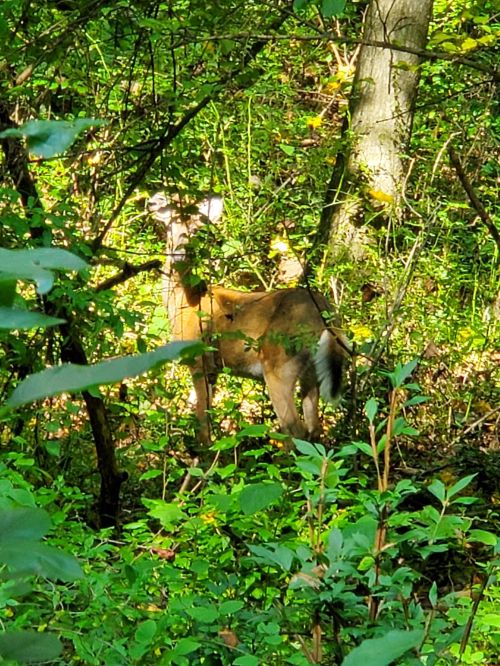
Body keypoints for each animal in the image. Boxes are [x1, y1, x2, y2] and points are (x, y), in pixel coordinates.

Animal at [148, 192, 349, 445]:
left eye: (195, 229)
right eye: (172, 225)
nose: (182, 250)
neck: (184, 299)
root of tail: (324, 313)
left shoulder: (198, 360)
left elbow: (202, 419)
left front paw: (204, 452)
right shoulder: (214, 369)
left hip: (278, 362)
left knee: (294, 430)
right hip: (311, 371)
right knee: (314, 429)